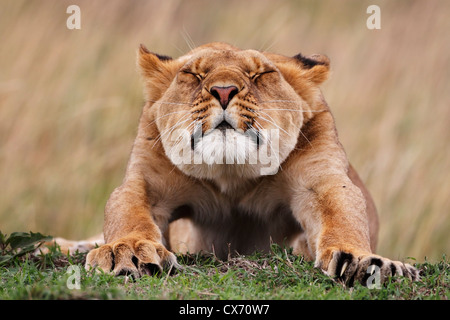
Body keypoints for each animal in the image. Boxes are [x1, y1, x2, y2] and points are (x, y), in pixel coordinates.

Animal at [59, 42, 418, 284]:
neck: (233, 176)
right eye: (193, 73)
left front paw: (364, 261)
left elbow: (344, 216)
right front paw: (127, 251)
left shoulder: (321, 182)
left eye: (260, 74)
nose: (223, 90)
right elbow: (126, 211)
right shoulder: (147, 183)